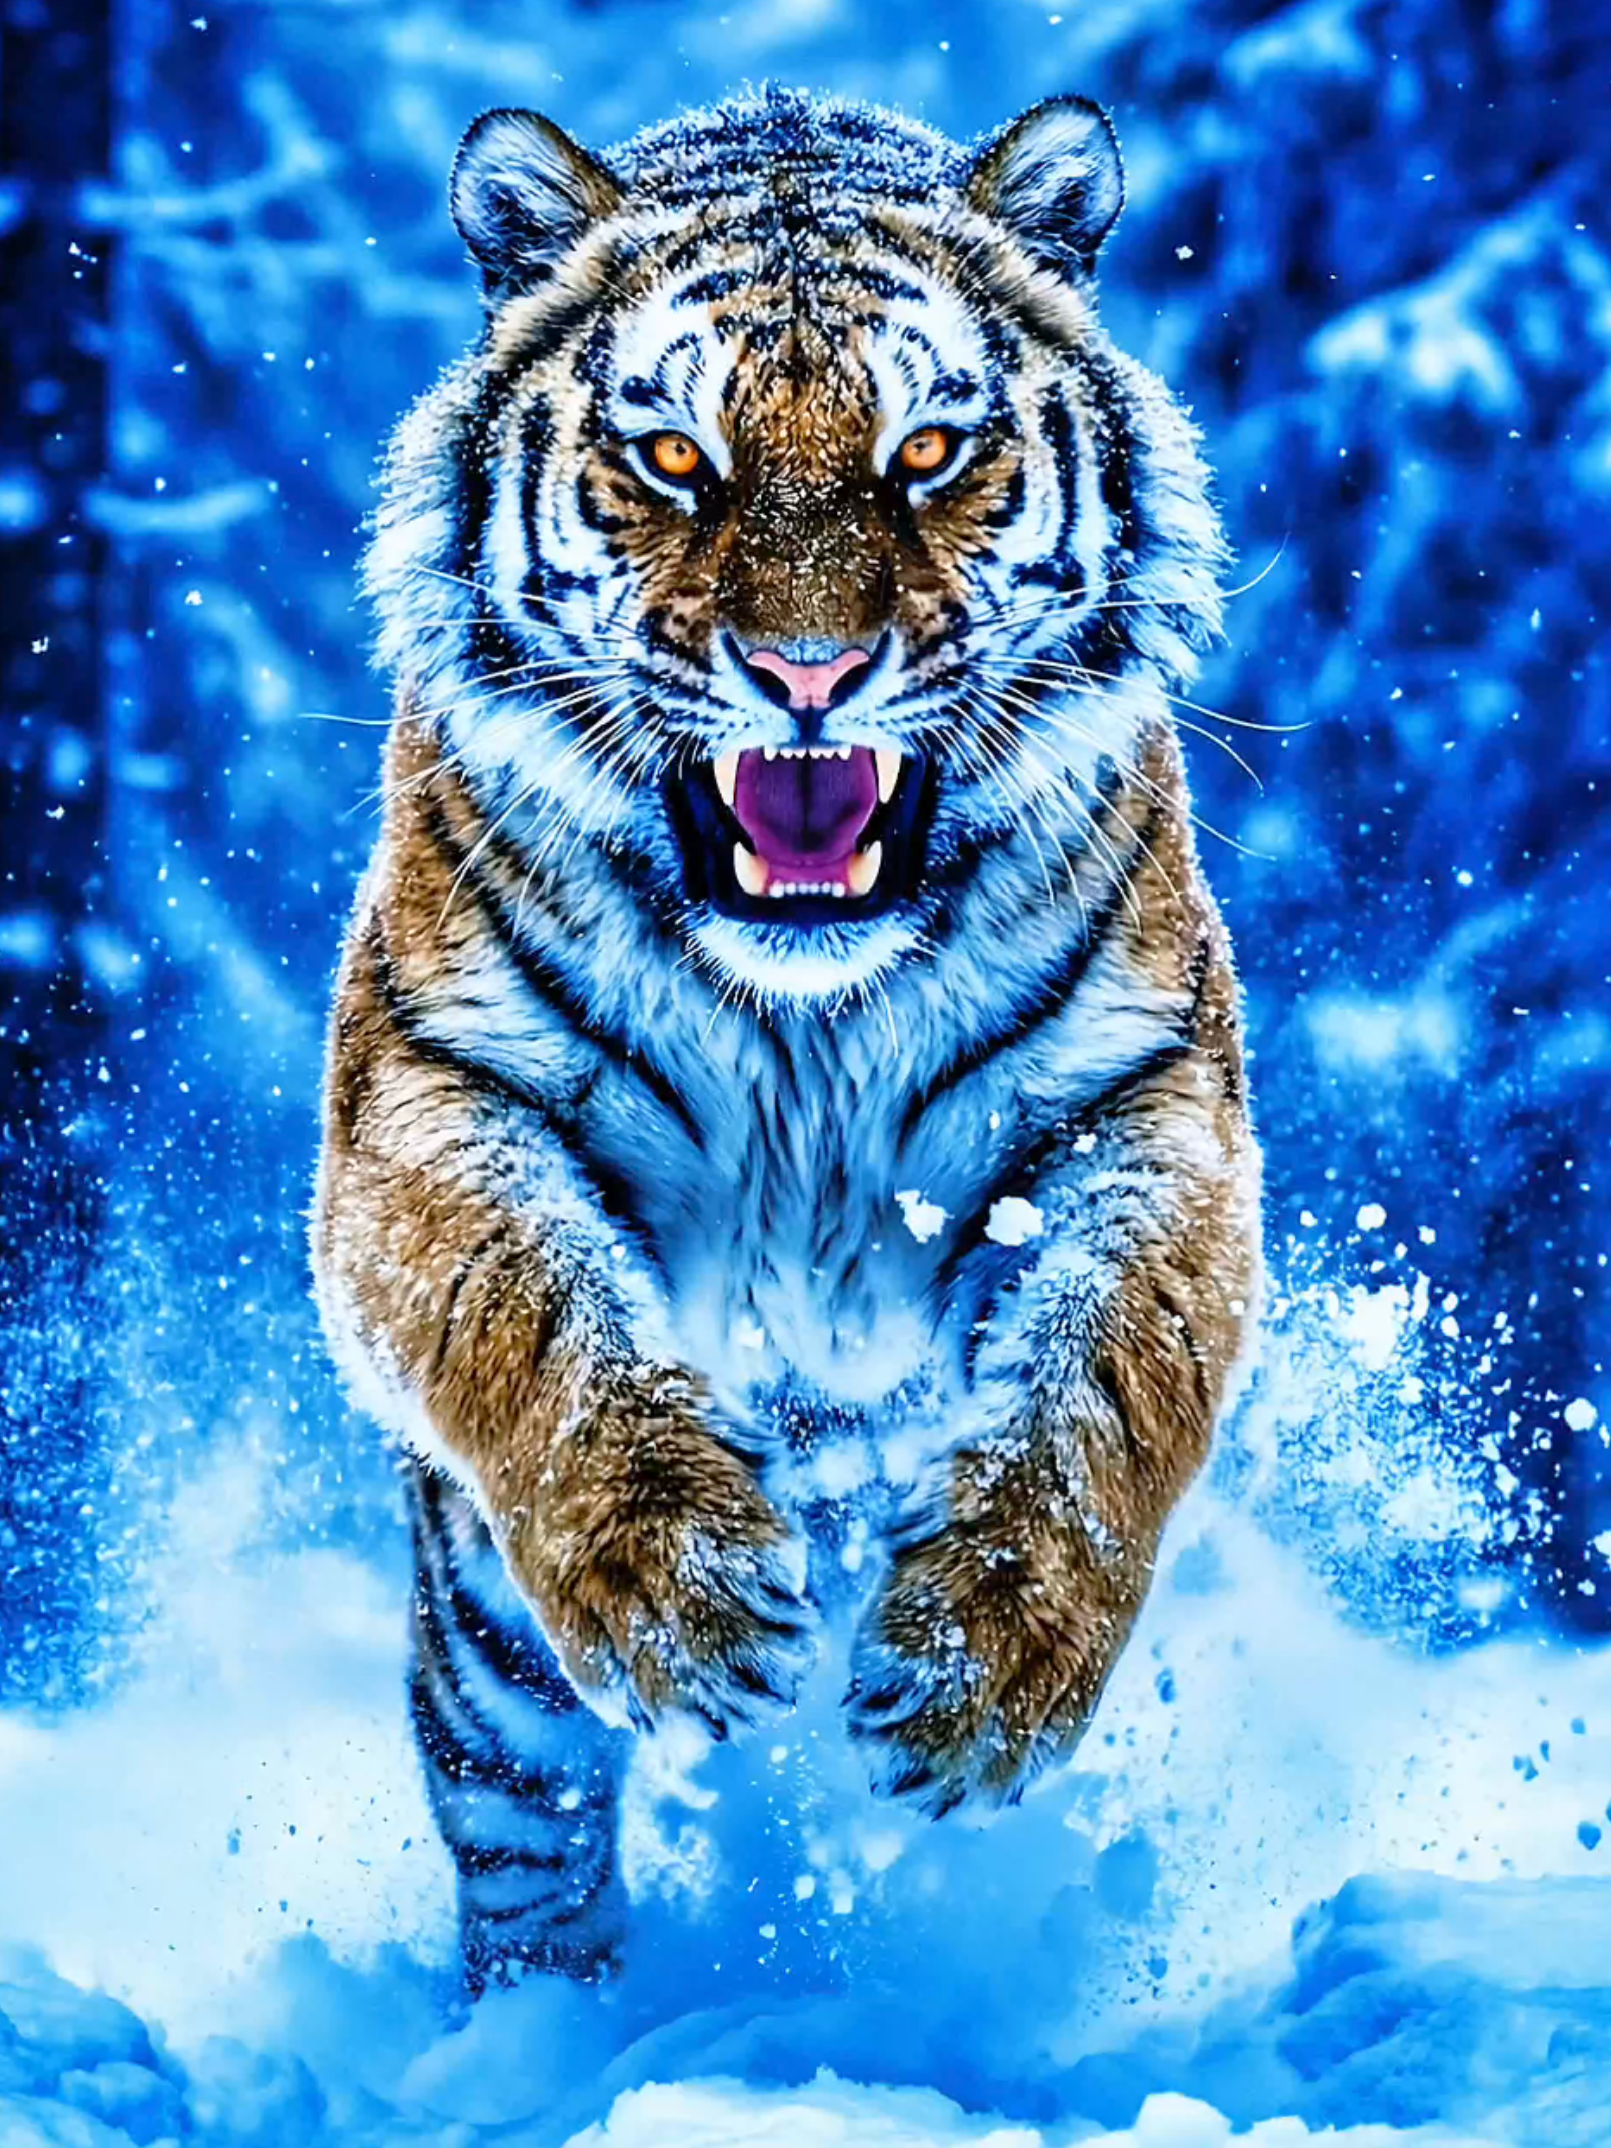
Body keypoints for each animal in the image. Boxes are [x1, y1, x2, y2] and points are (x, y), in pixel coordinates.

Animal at [312, 85, 1262, 1991]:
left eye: (928, 452)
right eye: (676, 458)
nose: (807, 673)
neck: (803, 1024)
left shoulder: (1143, 1103)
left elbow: (1098, 1365)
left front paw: (979, 1666)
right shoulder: (426, 1098)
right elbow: (533, 1313)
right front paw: (680, 1592)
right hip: (487, 1657)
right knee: (522, 1824)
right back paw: (550, 2030)